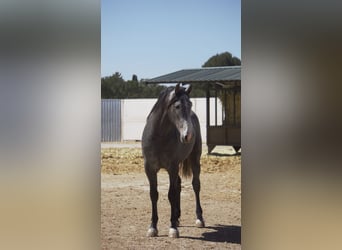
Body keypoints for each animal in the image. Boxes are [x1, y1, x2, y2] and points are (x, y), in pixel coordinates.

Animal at [142, 83, 204, 237]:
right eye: (177, 106)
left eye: (190, 104)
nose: (189, 135)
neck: (158, 136)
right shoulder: (150, 169)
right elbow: (154, 194)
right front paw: (153, 227)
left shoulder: (172, 167)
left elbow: (171, 194)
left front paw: (172, 228)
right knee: (179, 186)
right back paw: (177, 217)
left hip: (195, 159)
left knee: (196, 185)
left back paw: (199, 218)